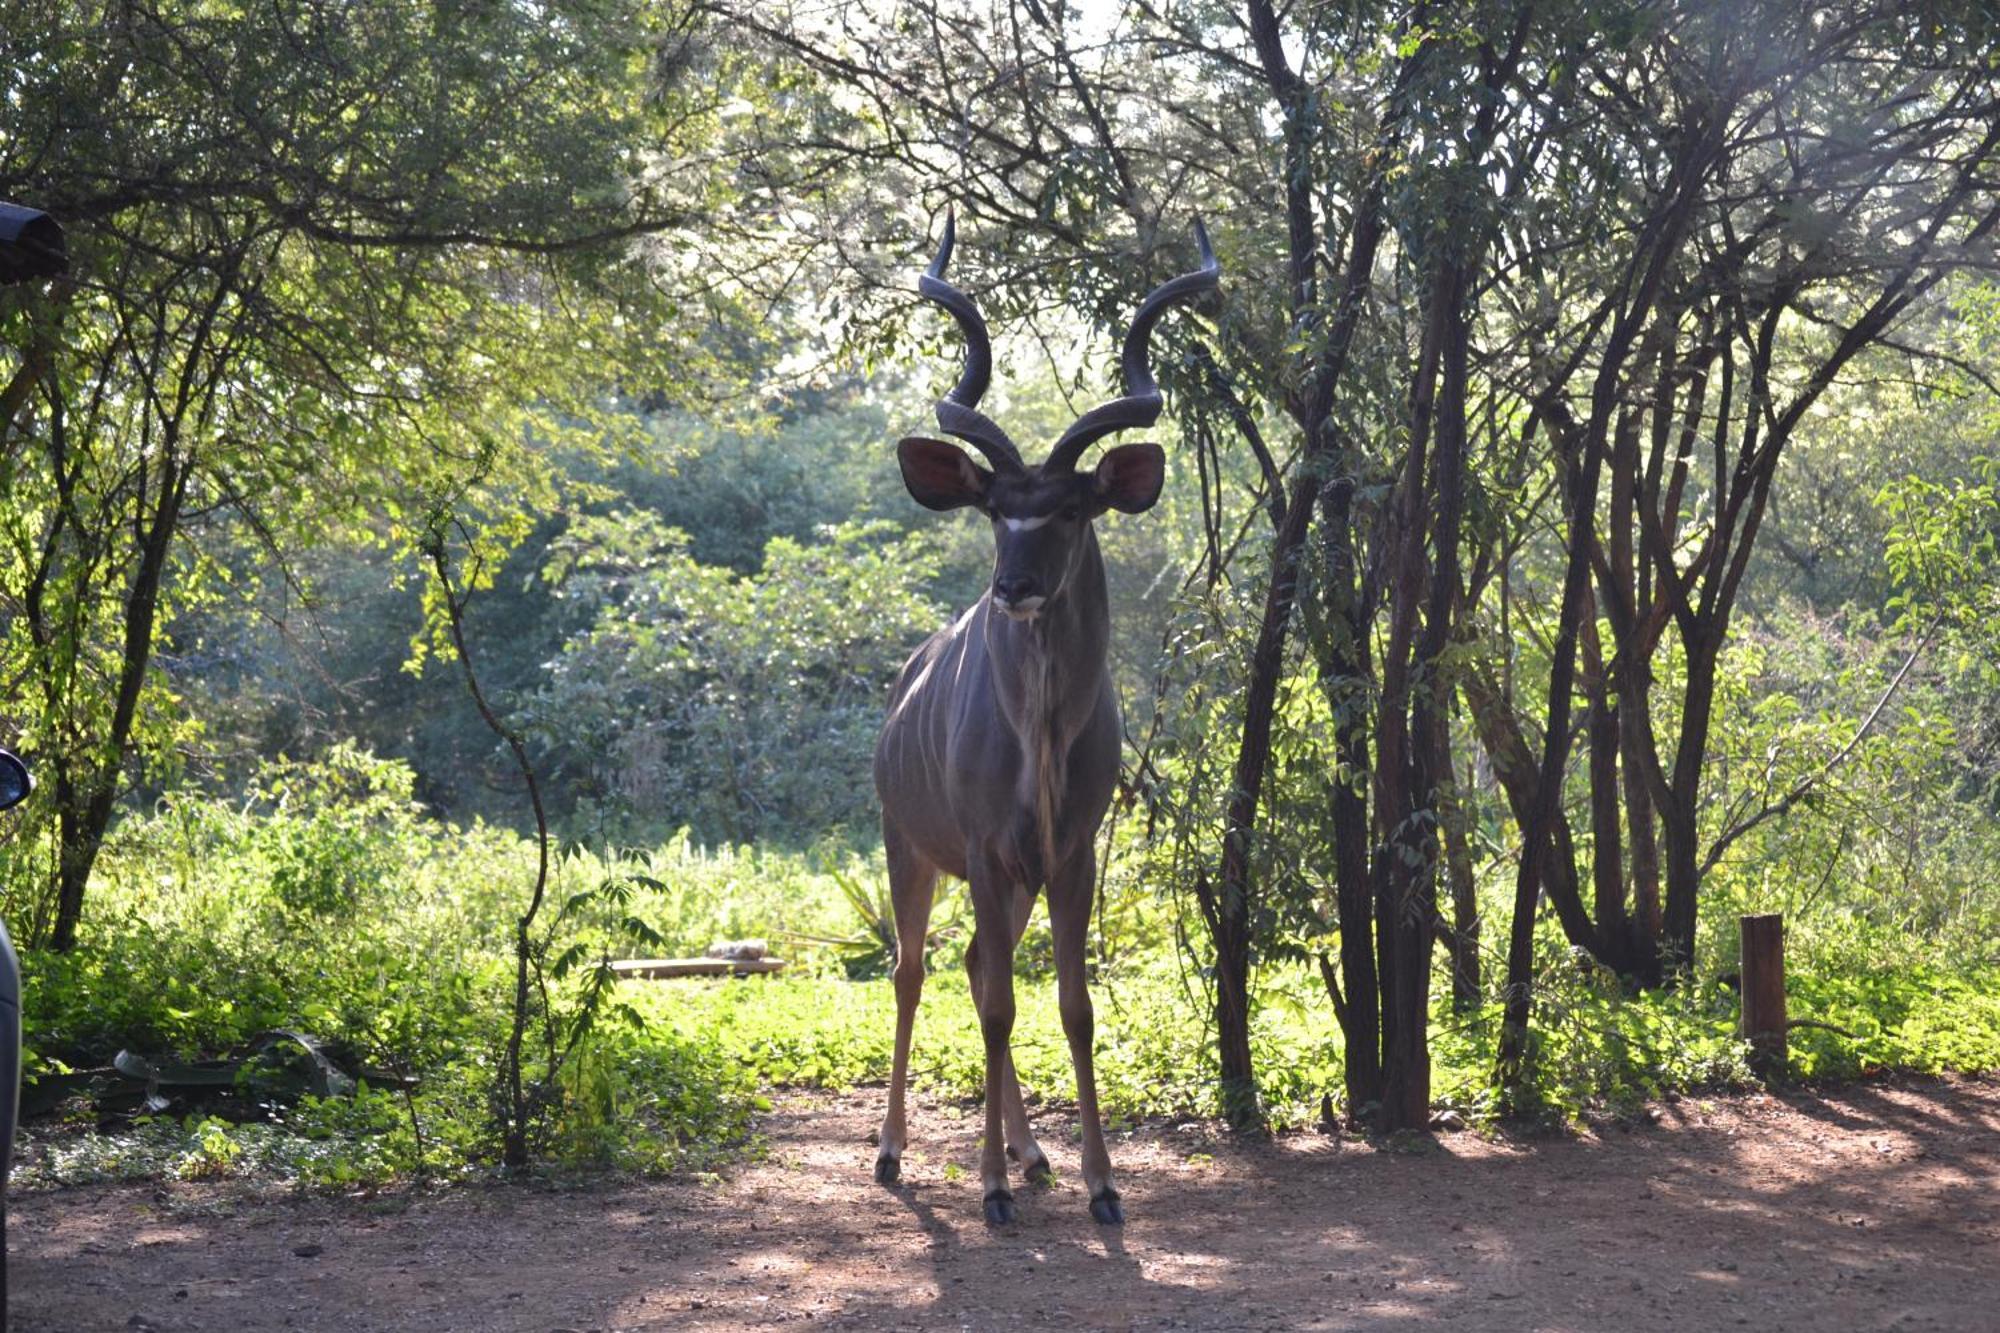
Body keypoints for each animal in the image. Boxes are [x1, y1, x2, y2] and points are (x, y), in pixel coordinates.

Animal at [868, 218, 1208, 1224]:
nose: (1012, 586)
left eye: (1066, 509)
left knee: (981, 962)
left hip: (1008, 878)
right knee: (913, 972)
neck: (1040, 744)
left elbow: (1070, 1006)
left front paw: (1099, 1182)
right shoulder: (984, 850)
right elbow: (995, 1008)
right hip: (905, 844)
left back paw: (1032, 1154)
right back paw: (896, 1151)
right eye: (993, 508)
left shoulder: (1069, 853)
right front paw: (987, 1187)